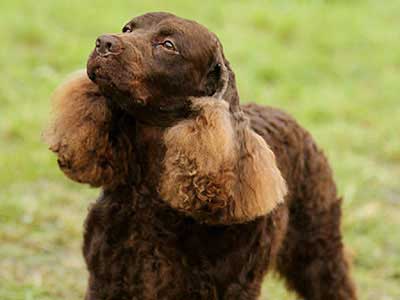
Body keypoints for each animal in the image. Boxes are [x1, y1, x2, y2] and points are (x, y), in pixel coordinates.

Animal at [45, 11, 358, 300]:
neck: (150, 196)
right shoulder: (107, 280)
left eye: (168, 45)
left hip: (319, 248)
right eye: (128, 28)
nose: (103, 42)